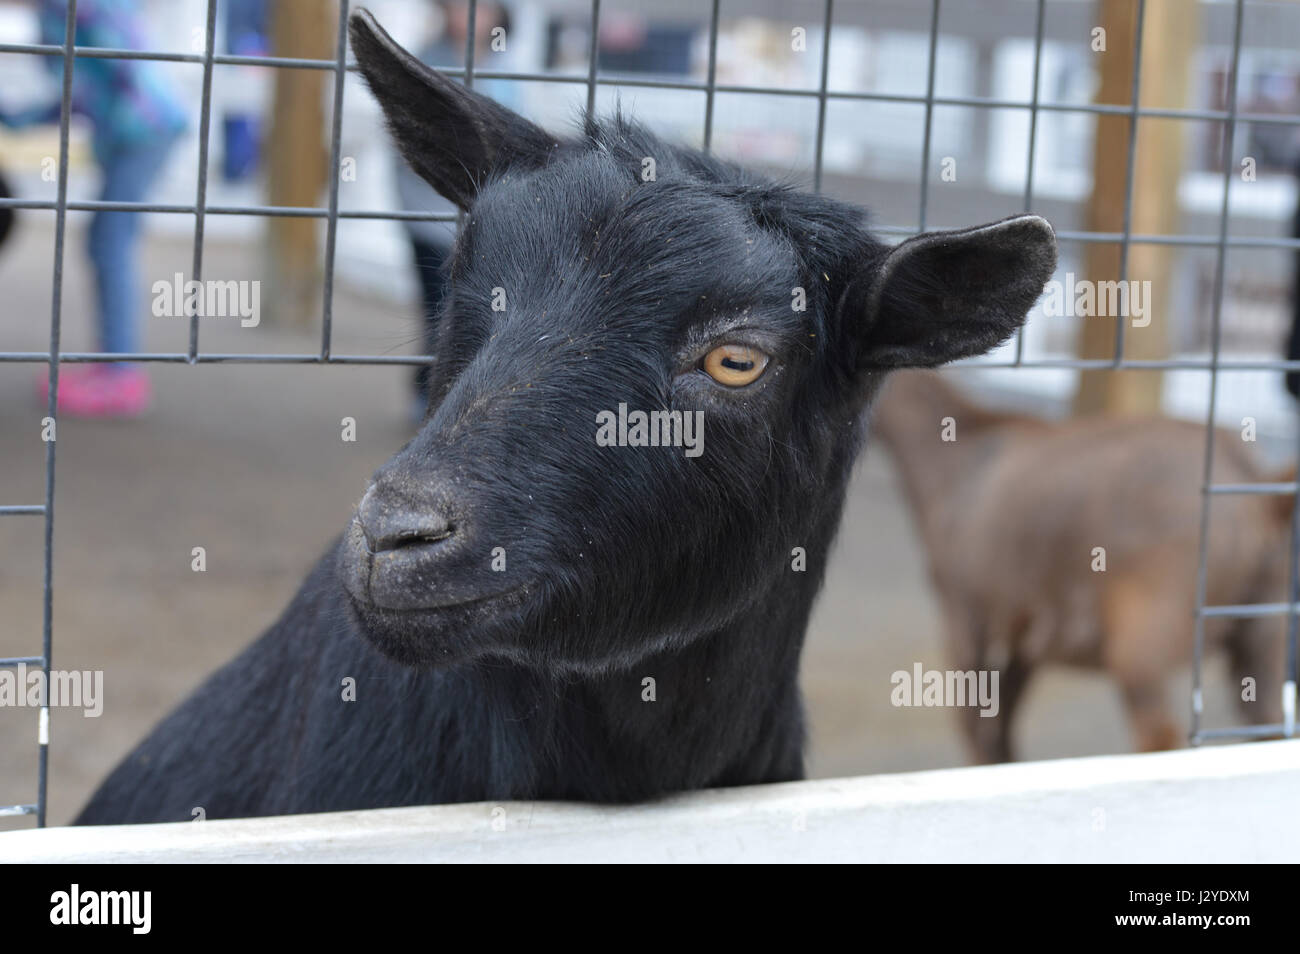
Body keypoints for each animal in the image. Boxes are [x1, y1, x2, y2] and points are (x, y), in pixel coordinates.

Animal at [873, 369, 1289, 764]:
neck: (956, 454)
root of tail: (1261, 494)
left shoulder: (965, 613)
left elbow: (972, 721)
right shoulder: (1025, 632)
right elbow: (1004, 716)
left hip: (1142, 642)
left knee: (1158, 734)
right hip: (1263, 632)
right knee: (1269, 721)